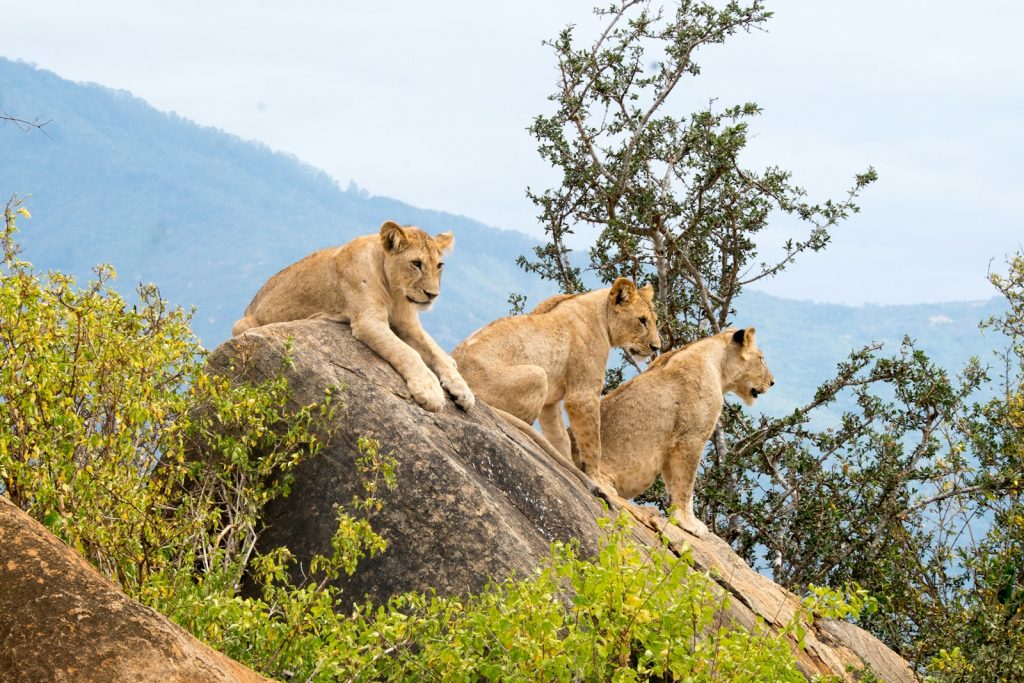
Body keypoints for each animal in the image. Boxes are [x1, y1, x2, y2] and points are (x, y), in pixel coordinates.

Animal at [231, 220, 471, 411]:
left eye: (439, 265)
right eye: (416, 263)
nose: (433, 294)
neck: (394, 290)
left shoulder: (408, 324)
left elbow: (435, 352)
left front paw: (463, 390)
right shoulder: (368, 321)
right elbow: (407, 352)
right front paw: (430, 391)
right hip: (242, 325)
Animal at [452, 278, 659, 481]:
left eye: (654, 321)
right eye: (642, 320)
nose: (656, 347)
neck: (601, 314)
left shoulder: (550, 403)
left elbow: (560, 437)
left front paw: (568, 465)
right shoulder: (582, 396)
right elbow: (593, 444)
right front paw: (595, 478)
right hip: (538, 375)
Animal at [598, 327, 770, 536]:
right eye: (761, 359)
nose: (772, 382)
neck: (718, 365)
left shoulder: (671, 445)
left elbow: (674, 484)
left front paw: (677, 518)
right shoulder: (690, 438)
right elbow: (686, 485)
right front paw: (690, 523)